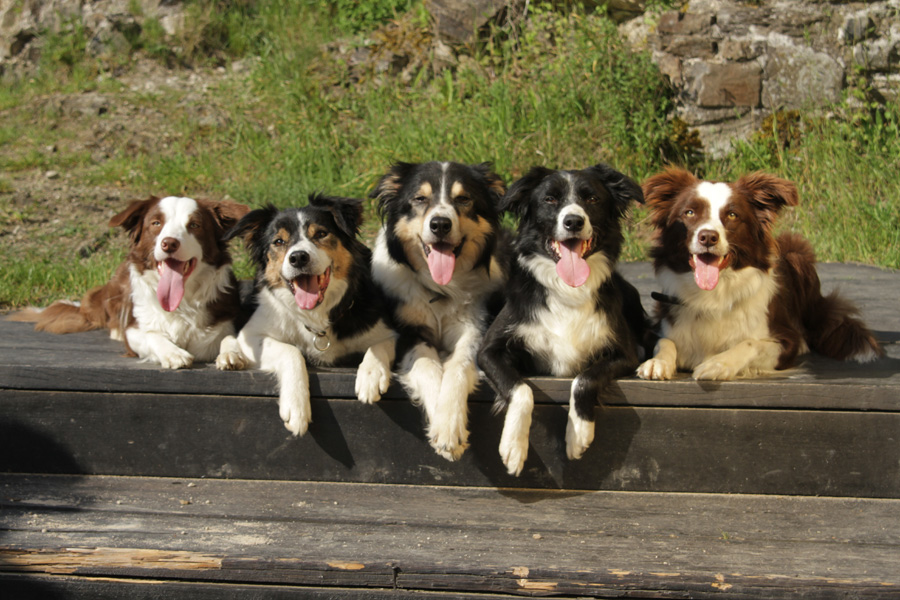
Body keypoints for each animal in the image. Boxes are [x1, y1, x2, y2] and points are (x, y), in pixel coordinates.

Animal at [9, 195, 250, 368]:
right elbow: (151, 334)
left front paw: (232, 353)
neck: (182, 303)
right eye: (156, 223)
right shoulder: (135, 331)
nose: (169, 243)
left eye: (194, 225)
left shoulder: (225, 322)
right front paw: (173, 353)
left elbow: (229, 337)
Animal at [216, 196, 396, 436]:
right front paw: (296, 406)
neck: (317, 316)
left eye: (320, 233)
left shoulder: (388, 332)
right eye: (278, 241)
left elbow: (379, 346)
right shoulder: (253, 334)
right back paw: (230, 356)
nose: (298, 257)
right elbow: (291, 351)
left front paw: (371, 374)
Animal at [366, 162, 506, 462]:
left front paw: (450, 427)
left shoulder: (474, 330)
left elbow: (457, 368)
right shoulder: (409, 333)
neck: (440, 289)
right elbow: (427, 366)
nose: (440, 224)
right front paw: (442, 426)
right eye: (420, 199)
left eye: (463, 199)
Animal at [478, 163, 648, 474]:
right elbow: (520, 388)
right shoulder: (488, 350)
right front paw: (513, 445)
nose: (573, 222)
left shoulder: (625, 353)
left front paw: (578, 432)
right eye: (550, 199)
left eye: (592, 198)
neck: (568, 289)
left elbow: (585, 378)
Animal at [636, 166, 884, 380]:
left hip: (797, 251)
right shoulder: (659, 328)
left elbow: (750, 343)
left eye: (732, 215)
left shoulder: (784, 342)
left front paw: (719, 363)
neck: (714, 294)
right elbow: (665, 342)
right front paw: (657, 362)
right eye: (689, 212)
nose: (707, 237)